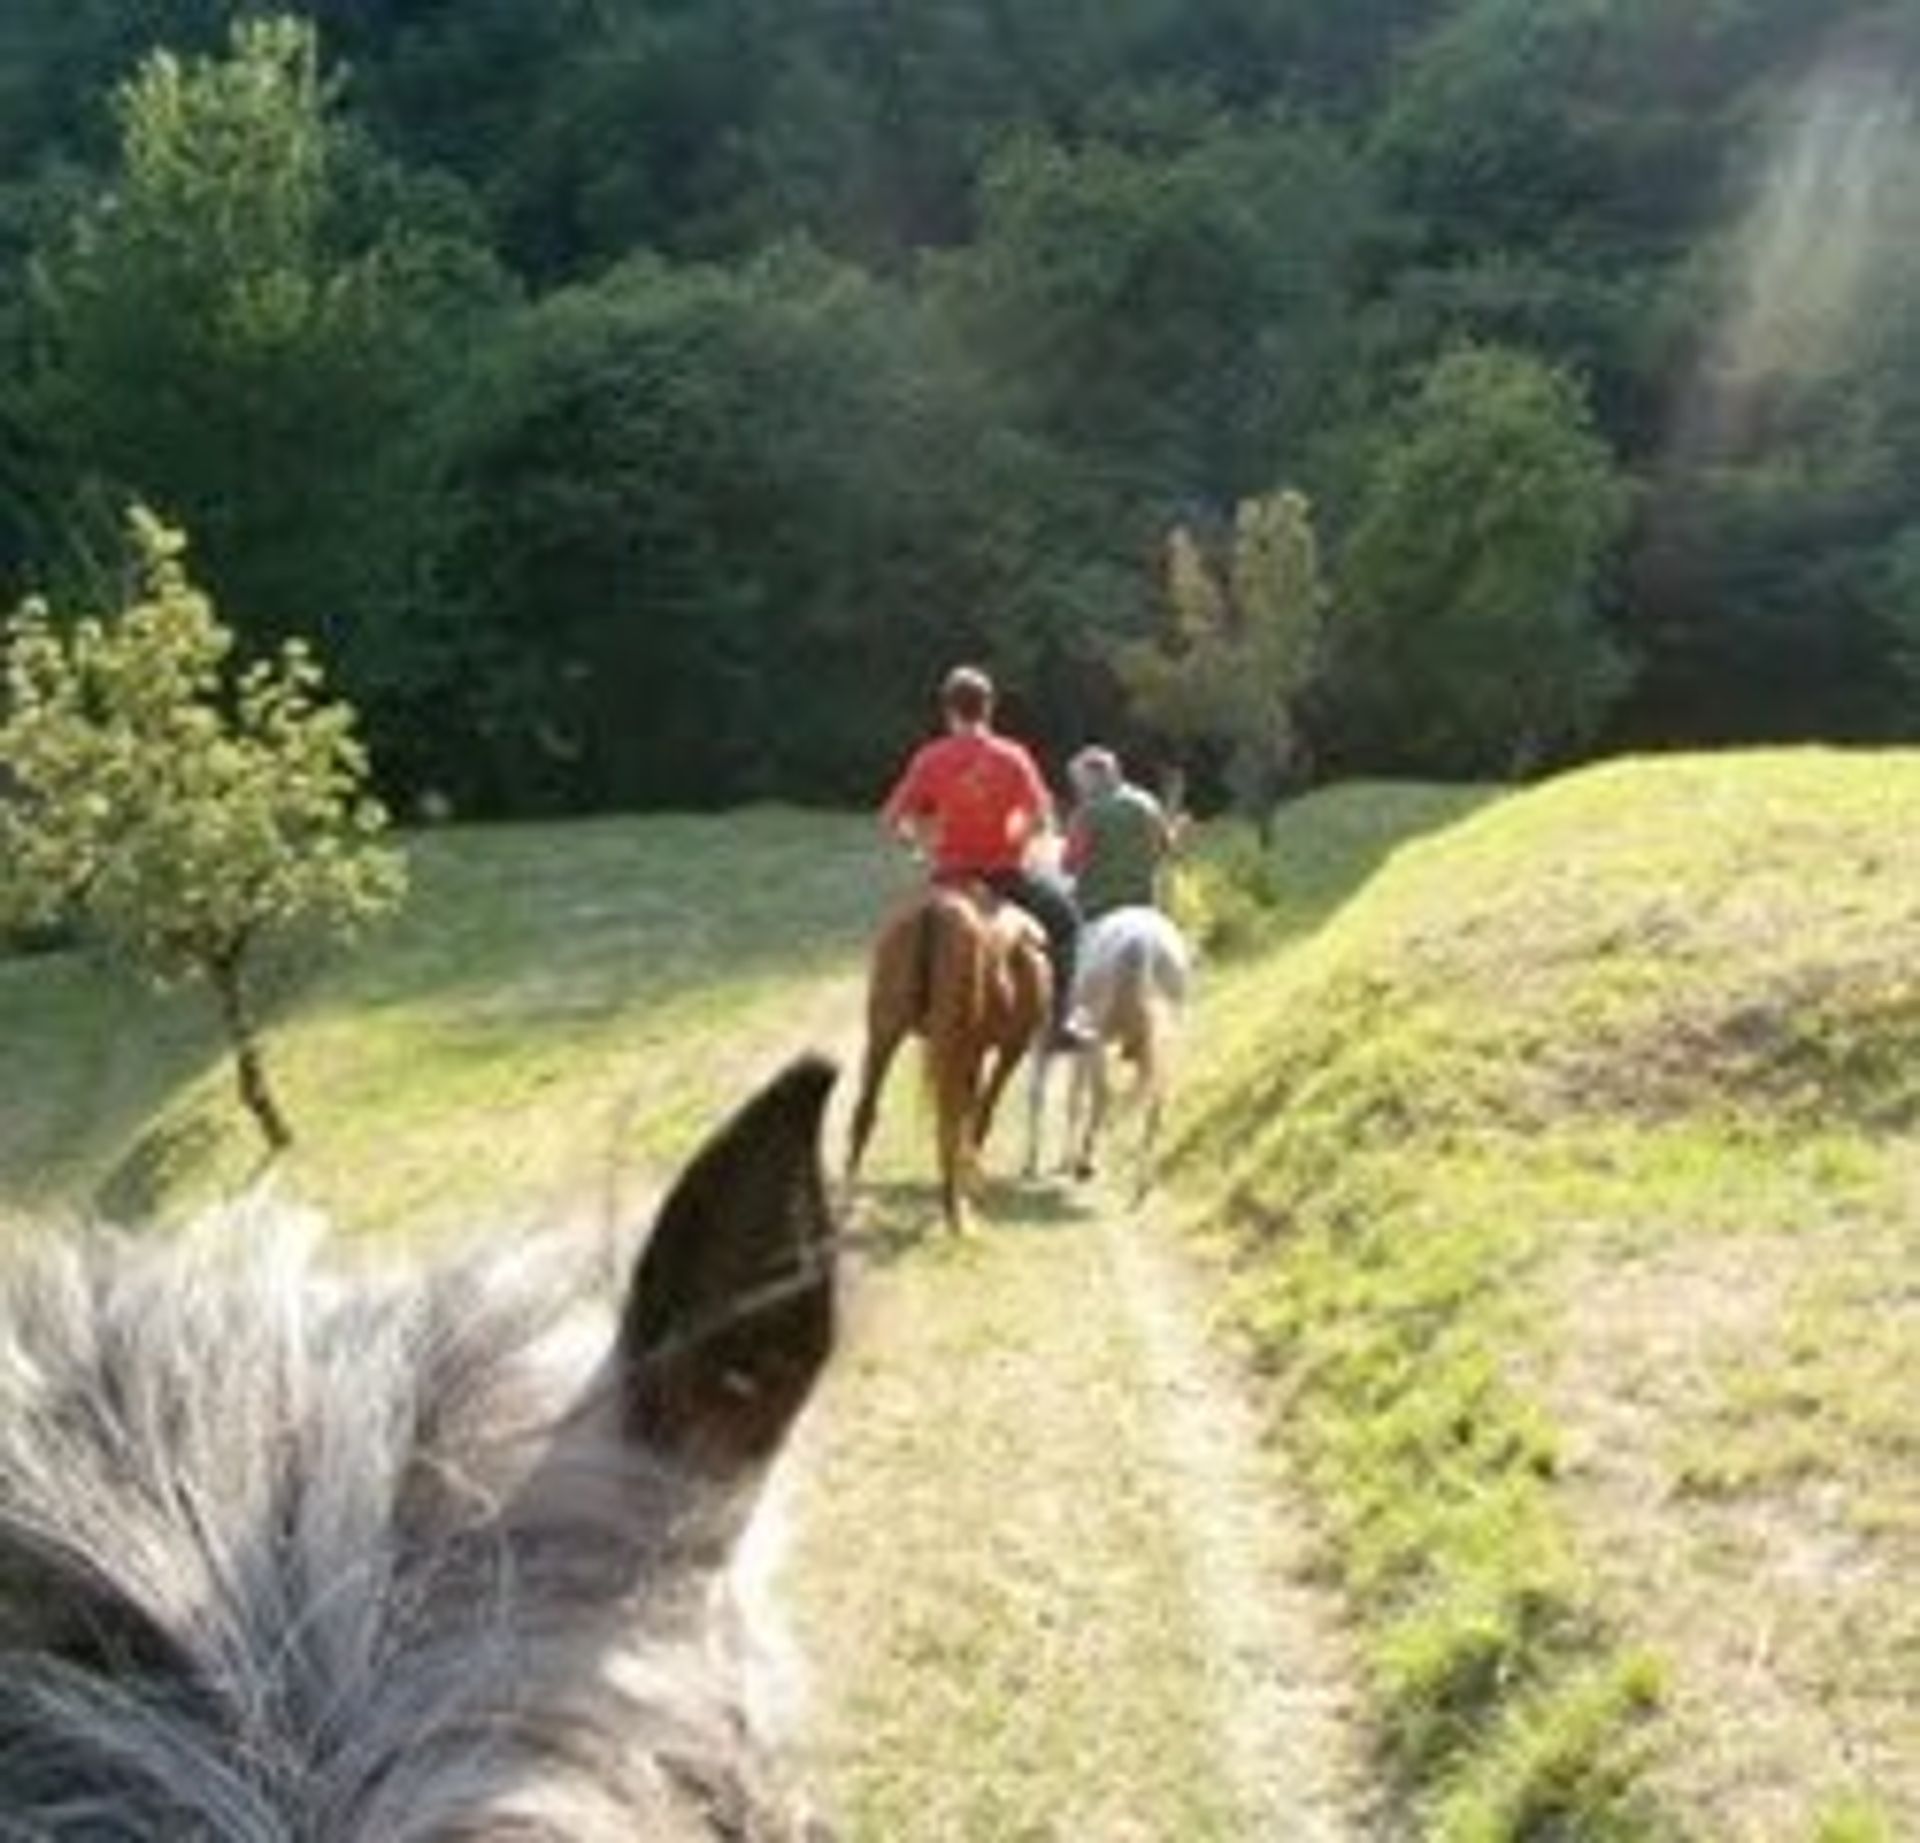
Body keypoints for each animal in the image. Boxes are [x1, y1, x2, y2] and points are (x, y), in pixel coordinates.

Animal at [844, 886, 1052, 1228]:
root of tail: (937, 910)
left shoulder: (974, 1052)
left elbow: (972, 1108)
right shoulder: (1010, 1048)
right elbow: (982, 1113)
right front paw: (970, 1181)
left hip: (884, 1032)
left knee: (865, 1109)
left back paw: (848, 1197)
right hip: (954, 1045)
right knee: (947, 1124)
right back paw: (955, 1214)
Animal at [1029, 902, 1190, 1197]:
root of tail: (1145, 941)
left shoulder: (1046, 1048)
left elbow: (1045, 1098)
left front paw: (1035, 1164)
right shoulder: (1079, 1052)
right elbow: (1073, 1098)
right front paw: (1062, 1160)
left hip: (1099, 1039)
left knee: (1103, 1096)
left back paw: (1085, 1164)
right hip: (1160, 1044)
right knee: (1154, 1104)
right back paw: (1140, 1184)